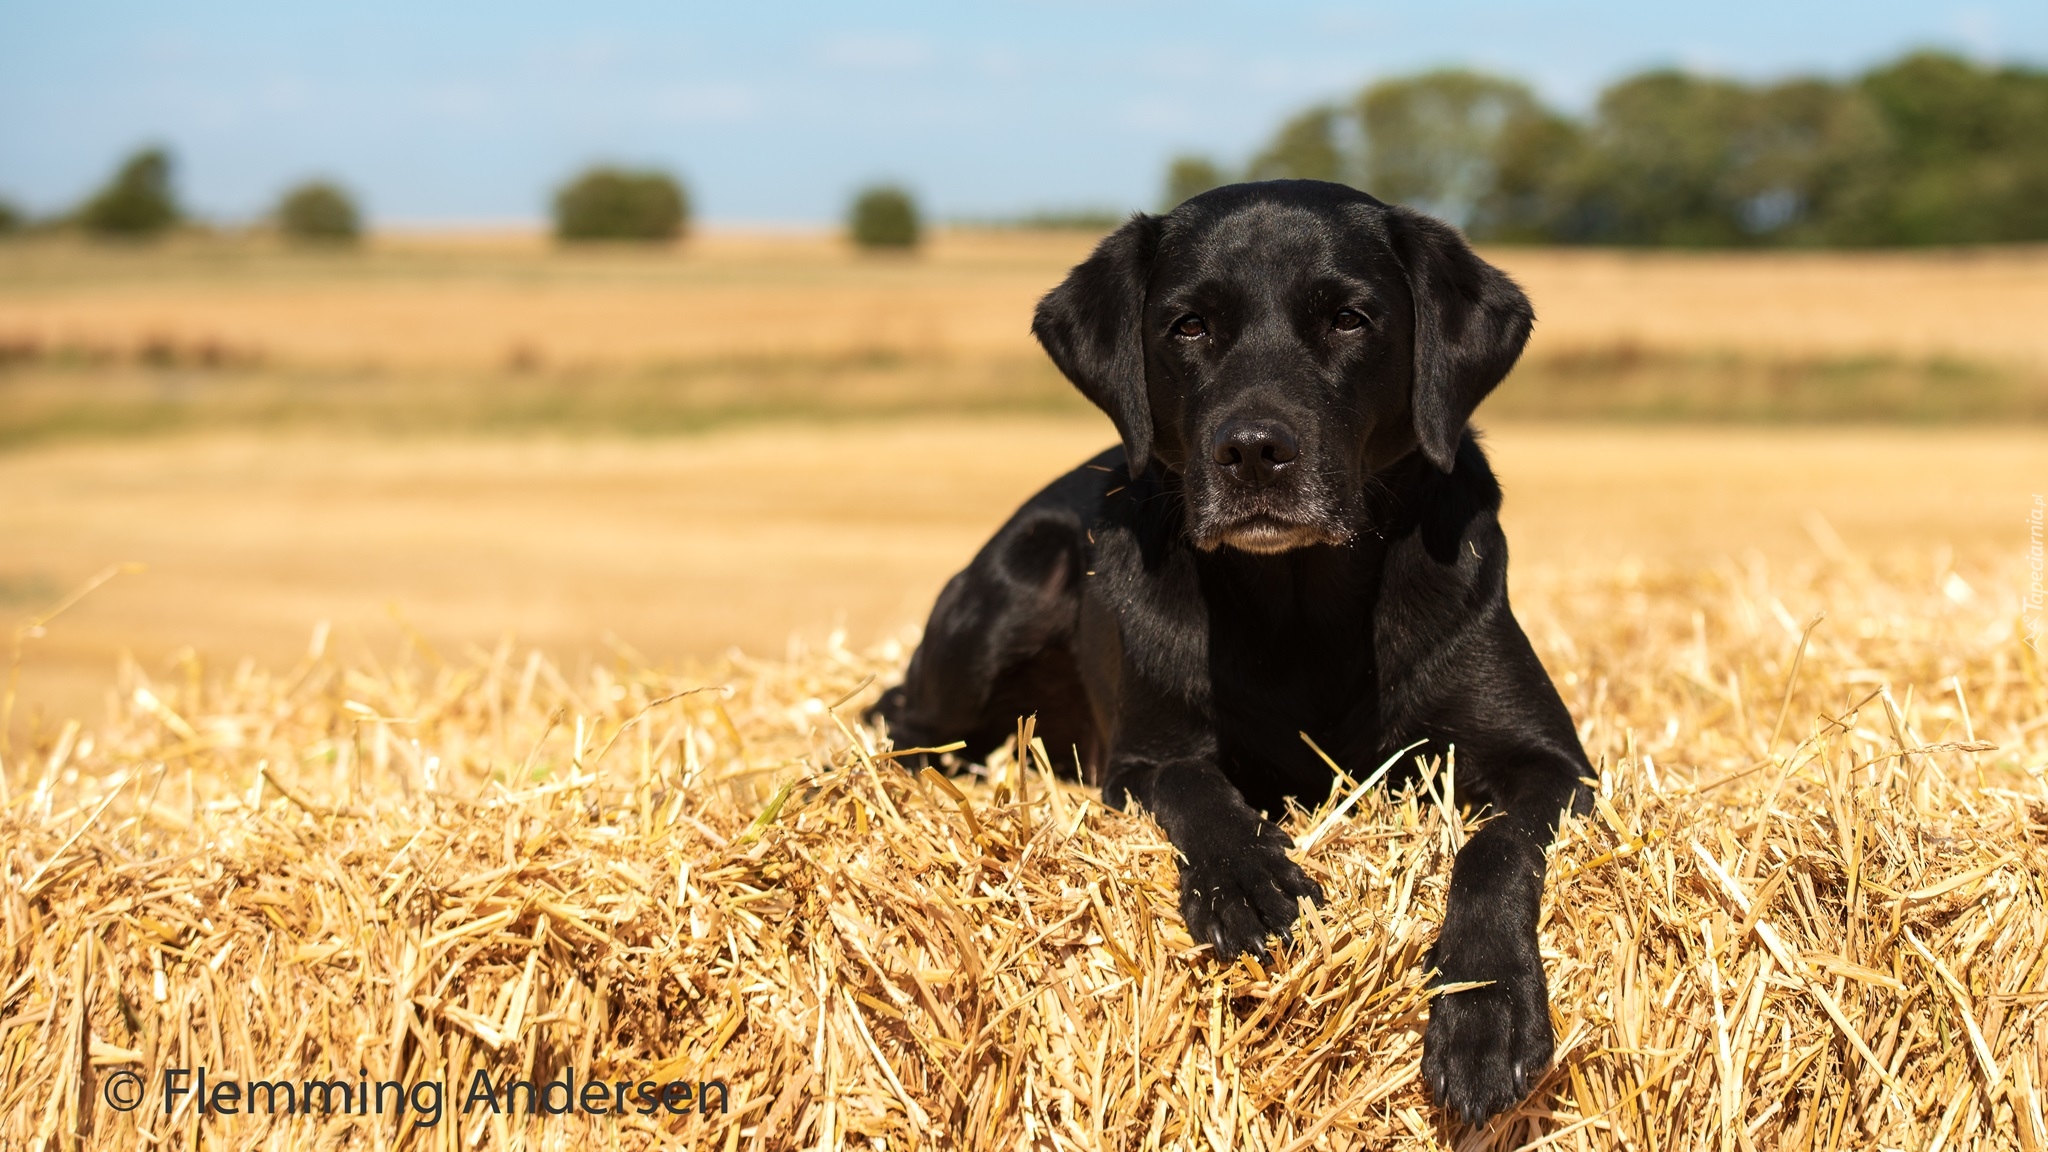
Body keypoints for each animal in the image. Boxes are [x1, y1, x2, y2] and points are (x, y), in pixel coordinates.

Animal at [872, 181, 1589, 1123]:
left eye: (1349, 318)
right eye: (1188, 326)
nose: (1252, 451)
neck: (1301, 604)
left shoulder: (1553, 764)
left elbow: (1495, 850)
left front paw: (1485, 1009)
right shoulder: (1144, 755)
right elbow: (1198, 788)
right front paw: (1249, 879)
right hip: (1020, 574)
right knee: (901, 723)